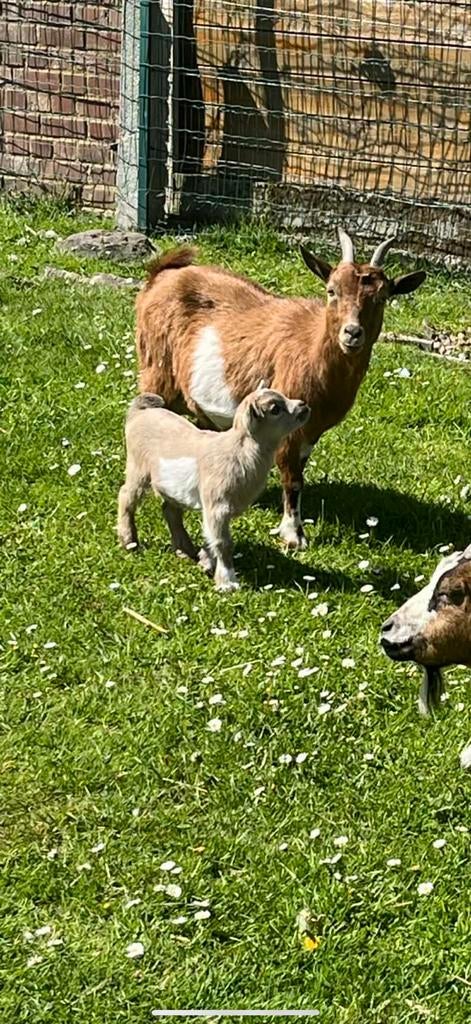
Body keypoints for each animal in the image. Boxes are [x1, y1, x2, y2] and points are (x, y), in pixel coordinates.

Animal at [117, 388, 310, 591]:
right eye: (275, 409)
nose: (303, 406)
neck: (239, 452)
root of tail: (139, 412)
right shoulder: (217, 505)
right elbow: (222, 543)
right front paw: (227, 582)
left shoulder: (216, 510)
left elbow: (211, 536)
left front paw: (206, 561)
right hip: (137, 467)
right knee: (126, 496)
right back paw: (129, 541)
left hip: (172, 487)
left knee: (170, 511)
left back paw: (185, 549)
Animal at [136, 228, 426, 550]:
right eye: (332, 291)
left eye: (383, 297)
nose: (352, 333)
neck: (311, 349)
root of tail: (161, 275)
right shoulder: (287, 423)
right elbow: (293, 478)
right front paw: (294, 535)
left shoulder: (311, 430)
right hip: (155, 369)